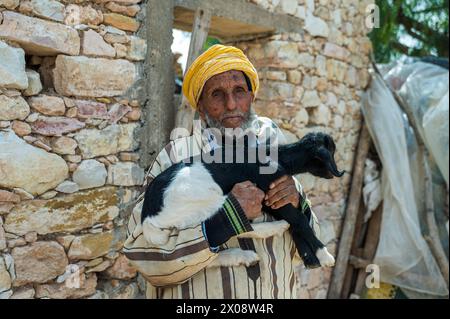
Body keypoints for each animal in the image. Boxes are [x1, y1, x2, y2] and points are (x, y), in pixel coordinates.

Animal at [142, 131, 342, 268]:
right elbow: (299, 219)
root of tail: (148, 218)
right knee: (229, 229)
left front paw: (309, 254)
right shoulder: (268, 190)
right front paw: (324, 255)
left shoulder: (271, 200)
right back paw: (270, 232)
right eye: (330, 152)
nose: (335, 173)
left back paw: (246, 254)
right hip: (206, 201)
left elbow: (296, 218)